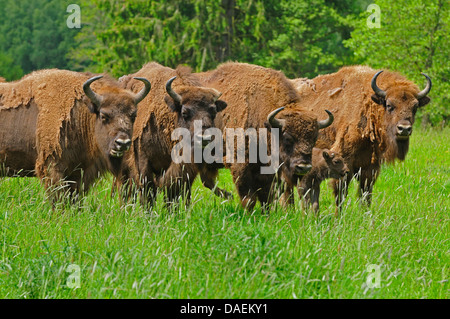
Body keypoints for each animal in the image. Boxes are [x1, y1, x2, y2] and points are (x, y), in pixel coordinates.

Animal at [0, 69, 151, 202]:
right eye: (104, 116)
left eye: (133, 116)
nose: (122, 143)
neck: (80, 113)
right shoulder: (52, 169)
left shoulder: (80, 173)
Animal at [195, 62, 332, 212]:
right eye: (288, 138)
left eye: (314, 139)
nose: (304, 167)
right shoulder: (240, 166)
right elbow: (249, 198)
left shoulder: (269, 173)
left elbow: (266, 198)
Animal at [292, 65, 432, 210]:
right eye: (389, 105)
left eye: (415, 107)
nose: (404, 129)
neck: (368, 106)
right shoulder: (343, 160)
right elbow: (340, 191)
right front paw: (339, 213)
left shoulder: (369, 167)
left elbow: (366, 192)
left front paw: (365, 212)